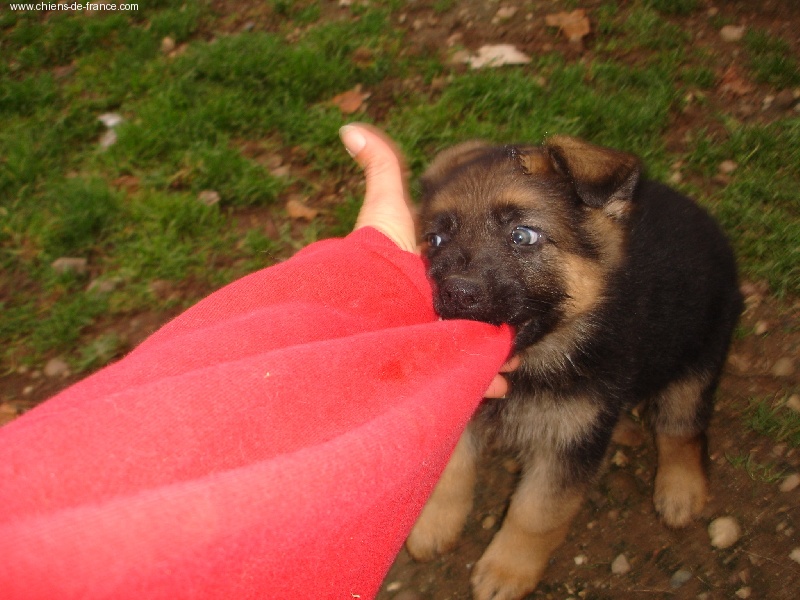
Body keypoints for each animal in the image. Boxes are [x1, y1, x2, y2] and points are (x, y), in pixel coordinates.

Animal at [406, 137, 744, 600]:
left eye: (523, 236)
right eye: (436, 239)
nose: (455, 293)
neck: (533, 364)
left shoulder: (569, 443)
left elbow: (535, 514)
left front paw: (508, 569)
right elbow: (449, 473)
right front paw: (435, 525)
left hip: (695, 362)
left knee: (682, 429)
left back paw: (680, 489)